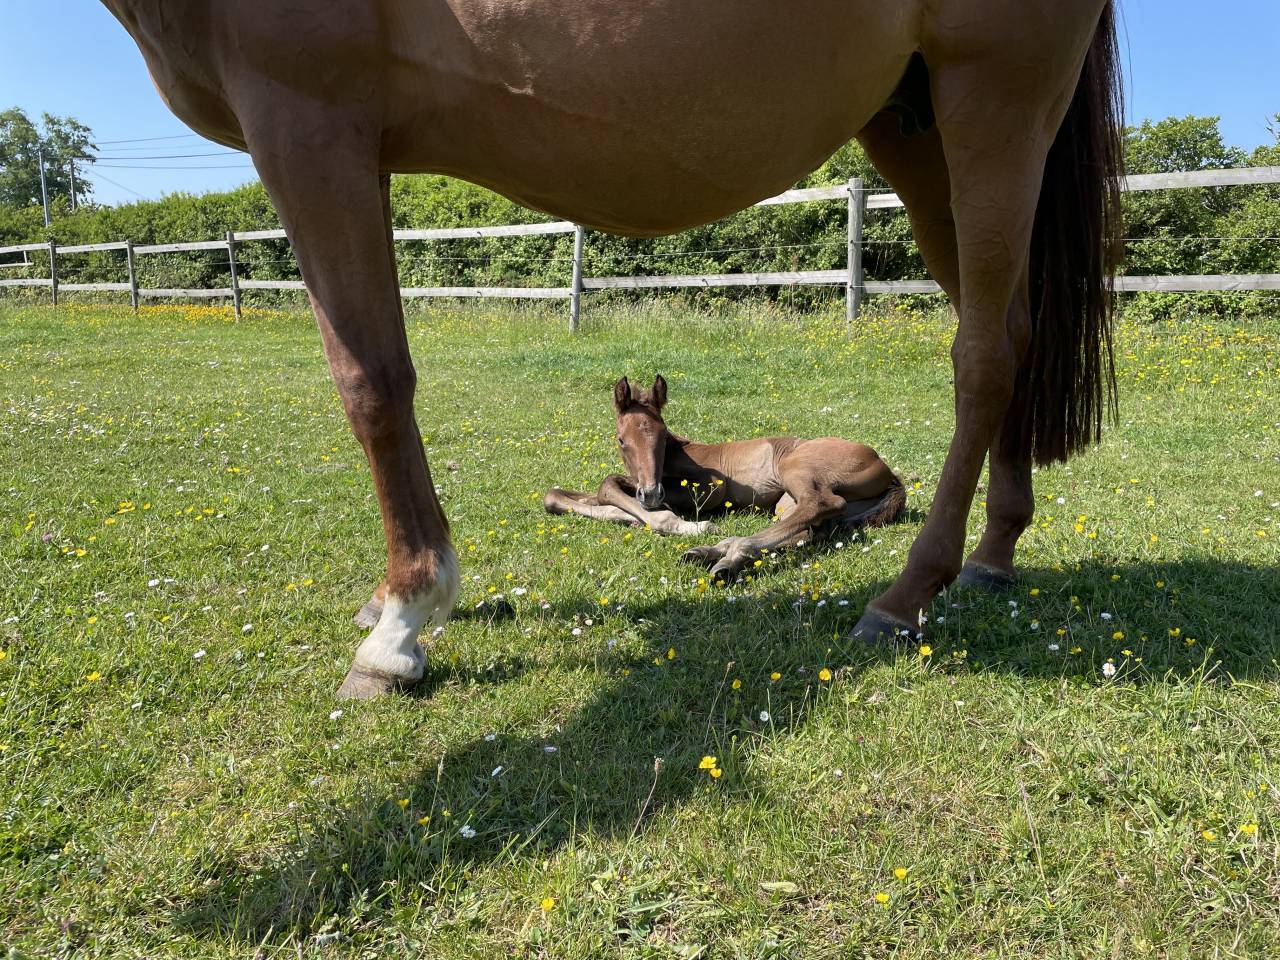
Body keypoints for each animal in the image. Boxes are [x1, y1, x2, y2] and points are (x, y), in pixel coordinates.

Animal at [544, 375, 906, 579]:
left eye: (661, 437)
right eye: (622, 440)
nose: (651, 494)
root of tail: (888, 471)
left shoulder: (713, 489)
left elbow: (610, 485)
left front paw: (674, 522)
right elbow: (563, 494)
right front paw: (631, 515)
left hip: (796, 469)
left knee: (821, 504)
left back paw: (727, 553)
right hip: (787, 503)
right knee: (808, 530)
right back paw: (716, 555)